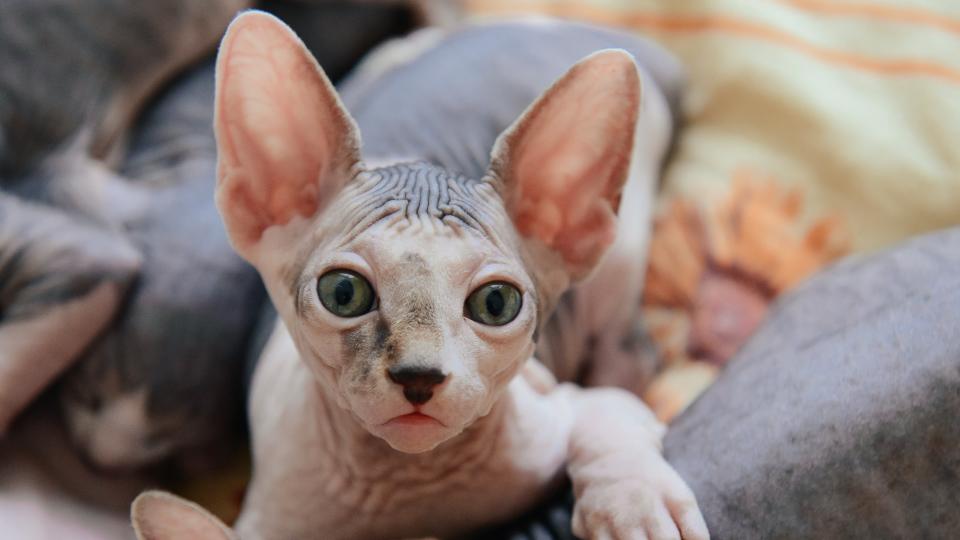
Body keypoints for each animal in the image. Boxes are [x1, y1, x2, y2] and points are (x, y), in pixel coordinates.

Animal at [133, 12, 704, 540]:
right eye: (343, 293)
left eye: (495, 304)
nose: (419, 376)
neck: (411, 486)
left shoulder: (560, 409)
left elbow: (608, 414)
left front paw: (634, 502)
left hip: (621, 259)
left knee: (629, 353)